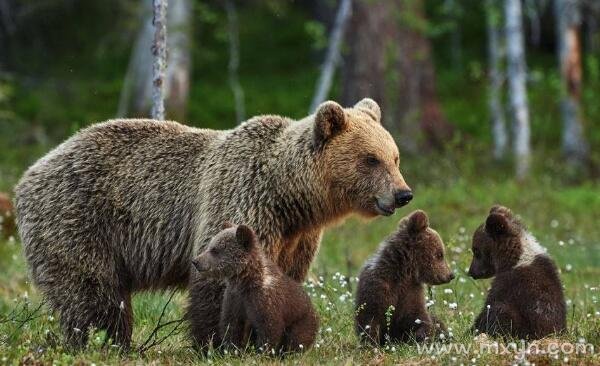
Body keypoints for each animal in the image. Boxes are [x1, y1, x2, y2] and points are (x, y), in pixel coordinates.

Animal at [16, 98, 414, 350]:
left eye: (395, 157)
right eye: (371, 159)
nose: (403, 194)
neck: (291, 197)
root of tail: (28, 174)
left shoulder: (297, 237)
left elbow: (283, 278)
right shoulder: (243, 200)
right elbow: (221, 279)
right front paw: (219, 343)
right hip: (78, 219)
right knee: (92, 290)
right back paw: (107, 341)